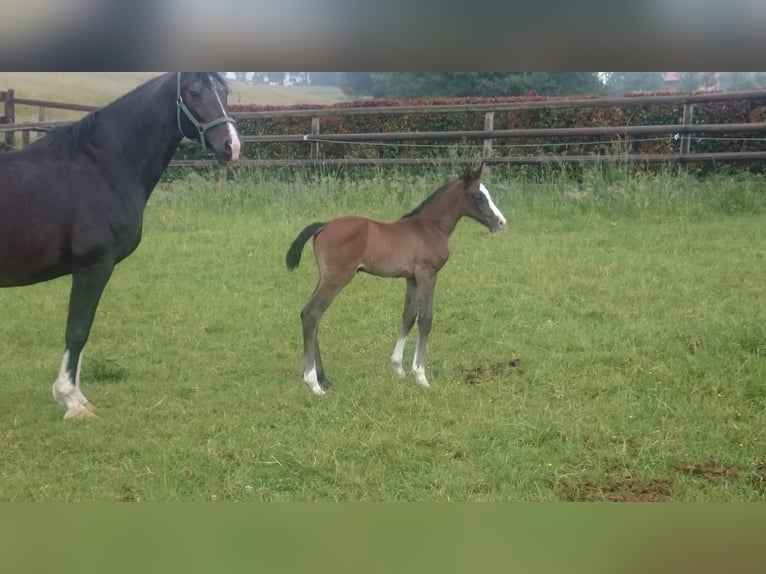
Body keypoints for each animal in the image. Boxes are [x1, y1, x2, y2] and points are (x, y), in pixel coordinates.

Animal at [0, 74, 240, 420]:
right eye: (194, 93)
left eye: (224, 91)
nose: (232, 146)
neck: (102, 166)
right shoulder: (93, 266)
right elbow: (77, 330)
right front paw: (71, 400)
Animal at [284, 166, 508, 396]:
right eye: (478, 196)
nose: (501, 223)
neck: (430, 227)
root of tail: (324, 225)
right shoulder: (427, 274)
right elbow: (425, 320)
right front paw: (421, 376)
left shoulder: (411, 278)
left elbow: (408, 317)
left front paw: (398, 369)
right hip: (336, 279)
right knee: (311, 314)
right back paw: (314, 383)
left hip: (325, 277)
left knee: (311, 316)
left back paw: (324, 379)